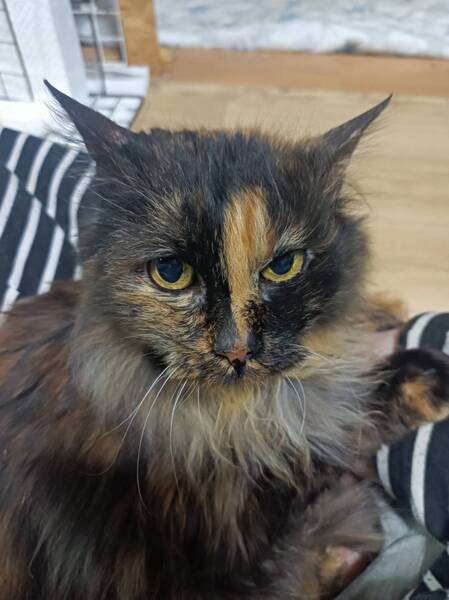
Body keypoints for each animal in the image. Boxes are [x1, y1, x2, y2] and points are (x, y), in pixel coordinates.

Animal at [0, 82, 448, 600]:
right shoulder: (252, 521)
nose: (236, 349)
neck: (238, 414)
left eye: (283, 266)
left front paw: (385, 308)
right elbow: (348, 422)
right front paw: (430, 374)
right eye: (171, 272)